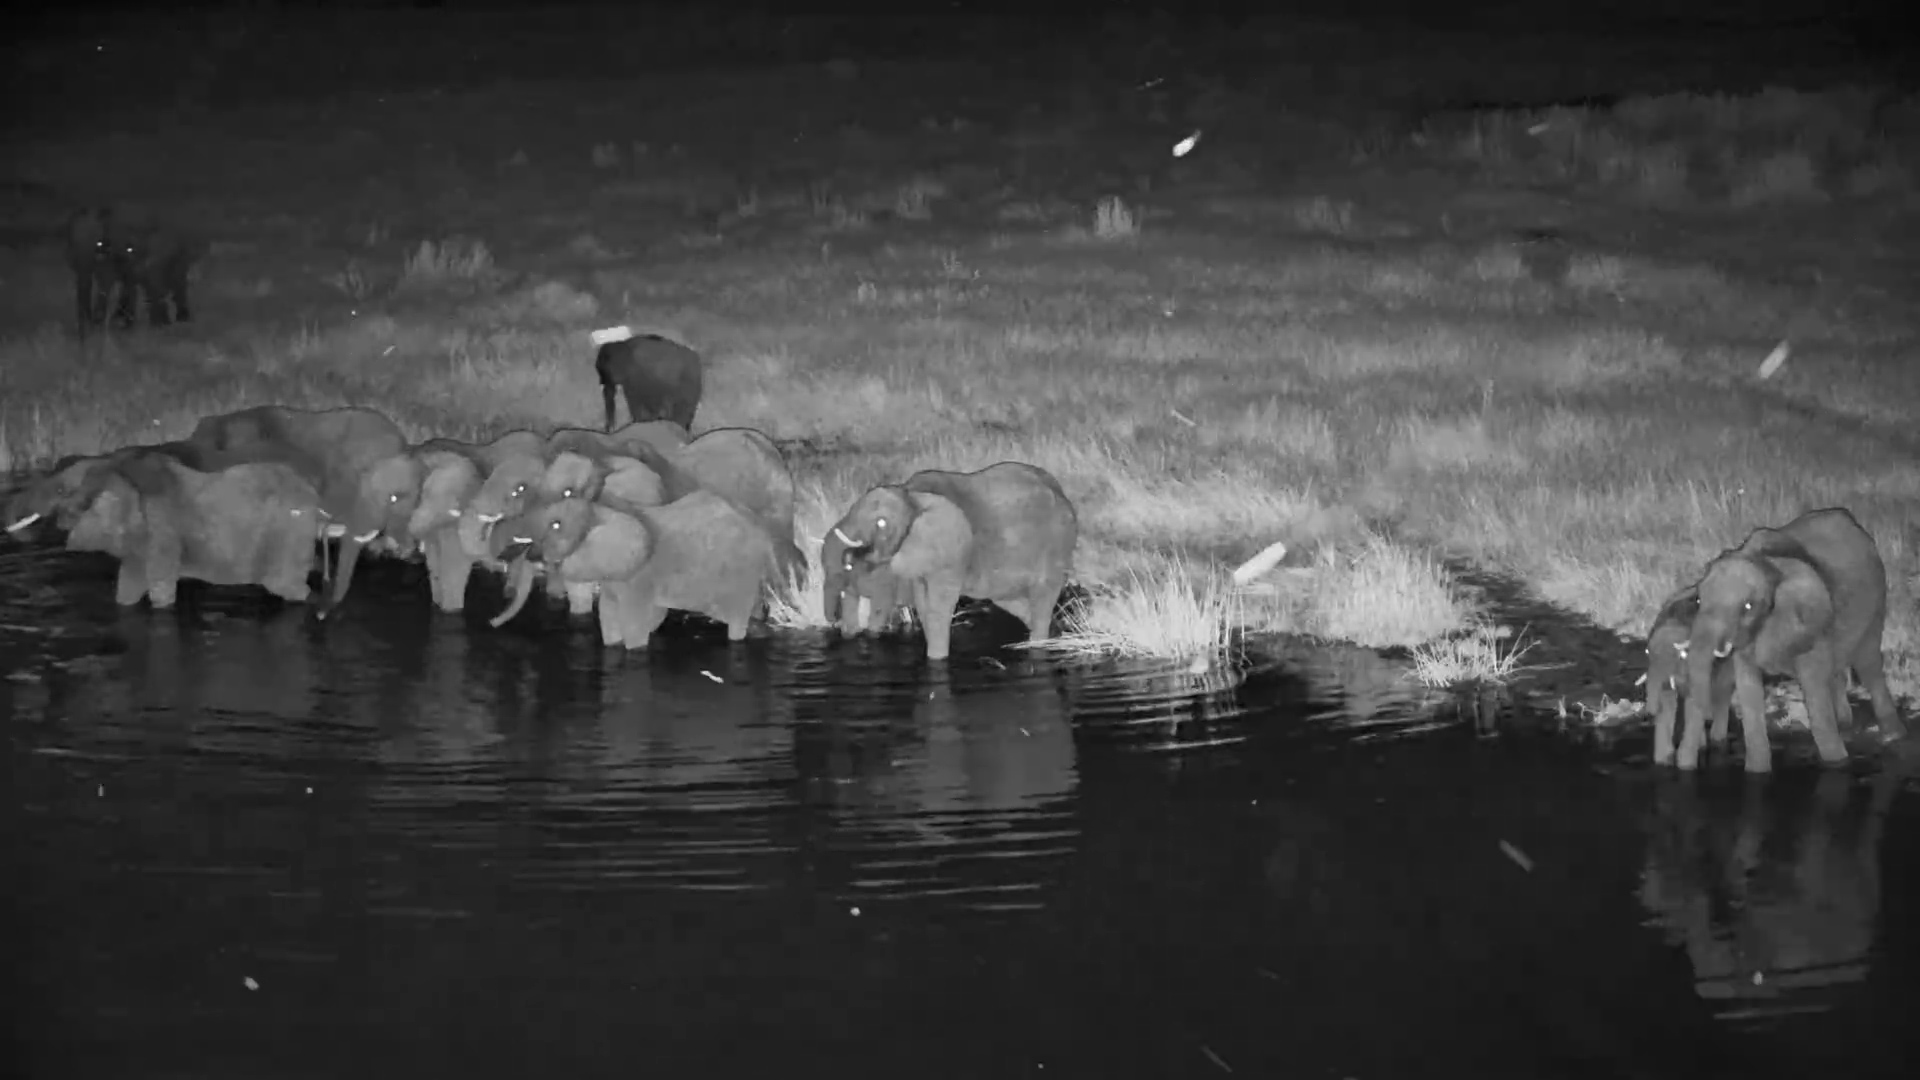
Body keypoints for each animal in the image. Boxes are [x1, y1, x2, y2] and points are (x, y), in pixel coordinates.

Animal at [12, 446, 324, 607]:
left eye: (62, 491)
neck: (112, 463)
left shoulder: (161, 531)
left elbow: (160, 592)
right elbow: (127, 589)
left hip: (290, 531)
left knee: (285, 587)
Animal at [487, 490, 789, 648]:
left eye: (556, 525)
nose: (491, 623)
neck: (604, 509)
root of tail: (765, 532)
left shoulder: (639, 578)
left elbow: (635, 626)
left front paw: (635, 646)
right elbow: (608, 618)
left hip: (742, 572)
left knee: (736, 620)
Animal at [826, 461, 1079, 661]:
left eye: (881, 523)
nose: (839, 626)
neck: (910, 495)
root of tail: (1063, 493)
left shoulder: (949, 552)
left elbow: (939, 607)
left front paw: (937, 660)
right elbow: (925, 605)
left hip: (1057, 543)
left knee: (1042, 598)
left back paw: (1040, 643)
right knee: (1015, 603)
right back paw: (1055, 633)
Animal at [1642, 584, 1735, 766]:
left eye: (1680, 655)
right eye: (1648, 653)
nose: (1649, 714)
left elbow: (1693, 704)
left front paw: (1686, 765)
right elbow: (1668, 703)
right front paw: (1663, 761)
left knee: (1723, 692)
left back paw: (1716, 740)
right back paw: (1702, 744)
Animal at [1683, 507, 1906, 773]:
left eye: (1748, 607)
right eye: (1698, 600)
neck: (1767, 565)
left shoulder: (1811, 623)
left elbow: (1814, 690)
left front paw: (1838, 764)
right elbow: (1749, 690)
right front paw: (1757, 772)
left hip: (1876, 600)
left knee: (1868, 663)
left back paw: (1892, 737)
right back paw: (1845, 724)